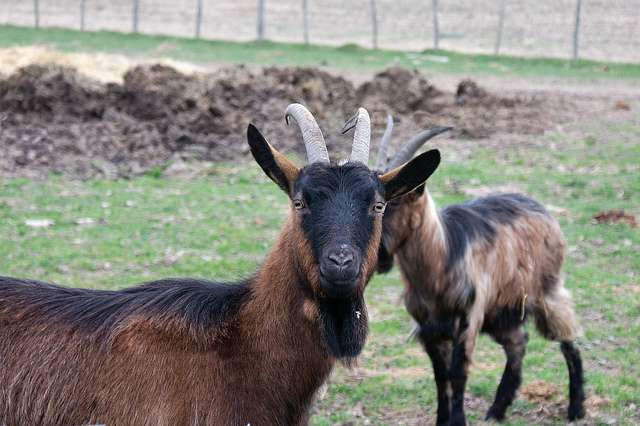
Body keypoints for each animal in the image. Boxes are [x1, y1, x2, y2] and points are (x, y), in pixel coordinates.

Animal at [370, 120, 584, 426]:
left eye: (396, 202)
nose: (377, 256)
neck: (438, 266)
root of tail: (545, 212)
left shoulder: (467, 318)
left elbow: (458, 373)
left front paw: (457, 420)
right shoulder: (428, 328)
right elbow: (440, 376)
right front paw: (442, 420)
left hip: (546, 292)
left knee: (569, 340)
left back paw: (576, 408)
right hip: (501, 311)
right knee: (518, 343)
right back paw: (497, 409)